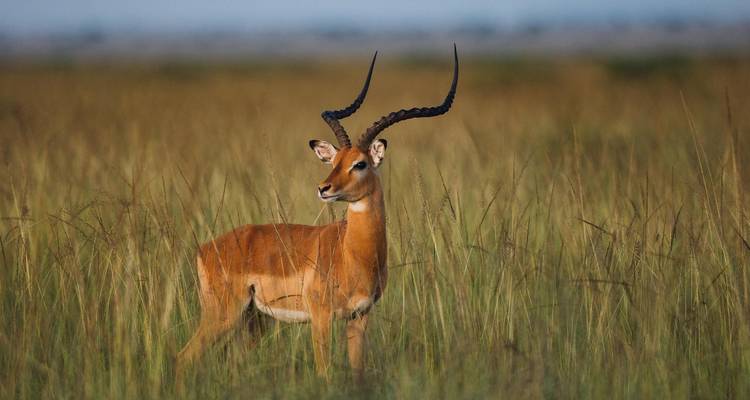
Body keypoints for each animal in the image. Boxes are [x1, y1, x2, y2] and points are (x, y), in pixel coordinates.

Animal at [176, 45, 458, 380]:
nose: (324, 188)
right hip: (224, 315)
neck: (353, 253)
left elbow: (357, 371)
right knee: (183, 357)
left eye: (359, 163)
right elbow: (324, 372)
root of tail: (205, 248)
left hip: (253, 320)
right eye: (334, 161)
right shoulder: (321, 317)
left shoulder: (360, 316)